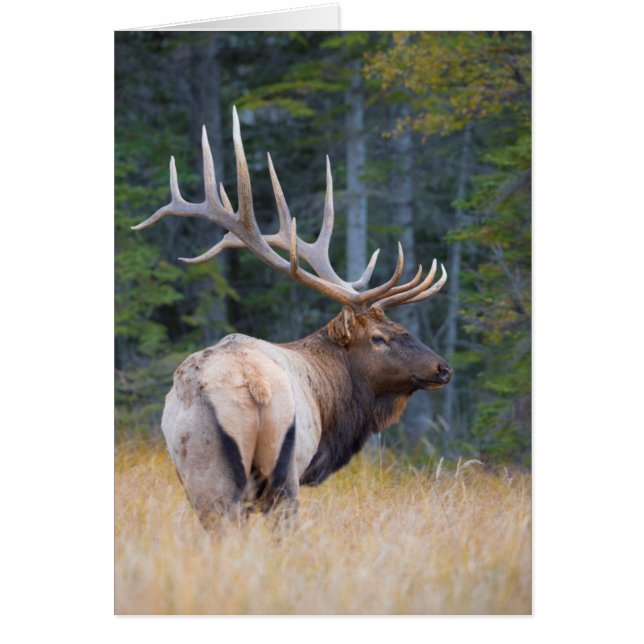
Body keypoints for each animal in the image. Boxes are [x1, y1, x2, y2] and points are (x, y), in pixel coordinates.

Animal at [132, 107, 452, 528]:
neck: (332, 405)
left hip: (211, 469)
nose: (442, 368)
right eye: (379, 338)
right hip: (273, 469)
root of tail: (252, 387)